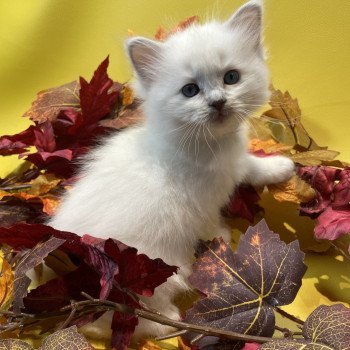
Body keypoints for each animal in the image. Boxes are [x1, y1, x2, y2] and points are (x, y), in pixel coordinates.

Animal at [49, 0, 296, 340]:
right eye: (190, 90)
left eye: (231, 77)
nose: (218, 102)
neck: (208, 144)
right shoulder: (202, 204)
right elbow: (211, 223)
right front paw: (221, 237)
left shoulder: (233, 164)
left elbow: (250, 165)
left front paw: (281, 167)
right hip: (152, 269)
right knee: (132, 316)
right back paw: (171, 323)